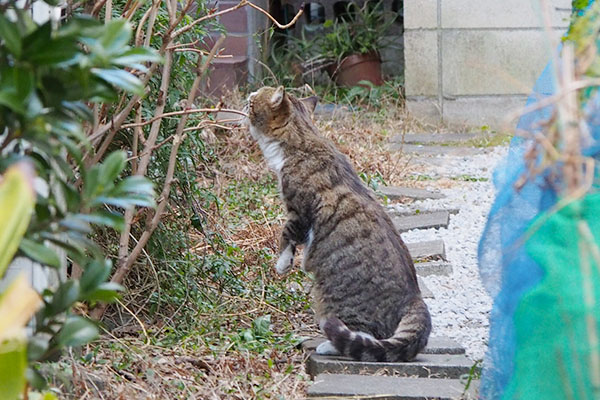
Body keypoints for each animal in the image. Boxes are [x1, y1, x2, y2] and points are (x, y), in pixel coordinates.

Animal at [245, 86, 432, 360]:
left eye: (251, 103)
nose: (245, 98)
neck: (302, 141)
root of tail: (415, 298)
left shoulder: (299, 211)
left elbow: (286, 234)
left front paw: (282, 263)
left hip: (339, 301)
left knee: (364, 336)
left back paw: (329, 346)